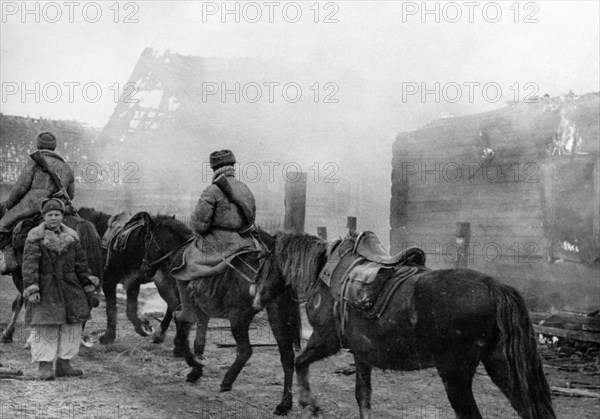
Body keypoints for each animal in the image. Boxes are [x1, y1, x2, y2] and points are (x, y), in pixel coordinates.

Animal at [140, 217, 300, 416]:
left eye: (147, 240)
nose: (144, 268)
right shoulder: (203, 314)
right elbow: (199, 342)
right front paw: (196, 369)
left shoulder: (186, 310)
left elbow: (182, 335)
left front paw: (193, 364)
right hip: (278, 315)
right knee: (287, 357)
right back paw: (284, 404)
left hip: (238, 318)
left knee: (246, 350)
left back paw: (227, 381)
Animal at [251, 235, 556, 418]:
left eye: (262, 260)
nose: (254, 294)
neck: (323, 271)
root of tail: (495, 287)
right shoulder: (361, 354)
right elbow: (363, 397)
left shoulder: (326, 339)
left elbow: (299, 361)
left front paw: (308, 404)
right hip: (502, 367)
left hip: (455, 375)